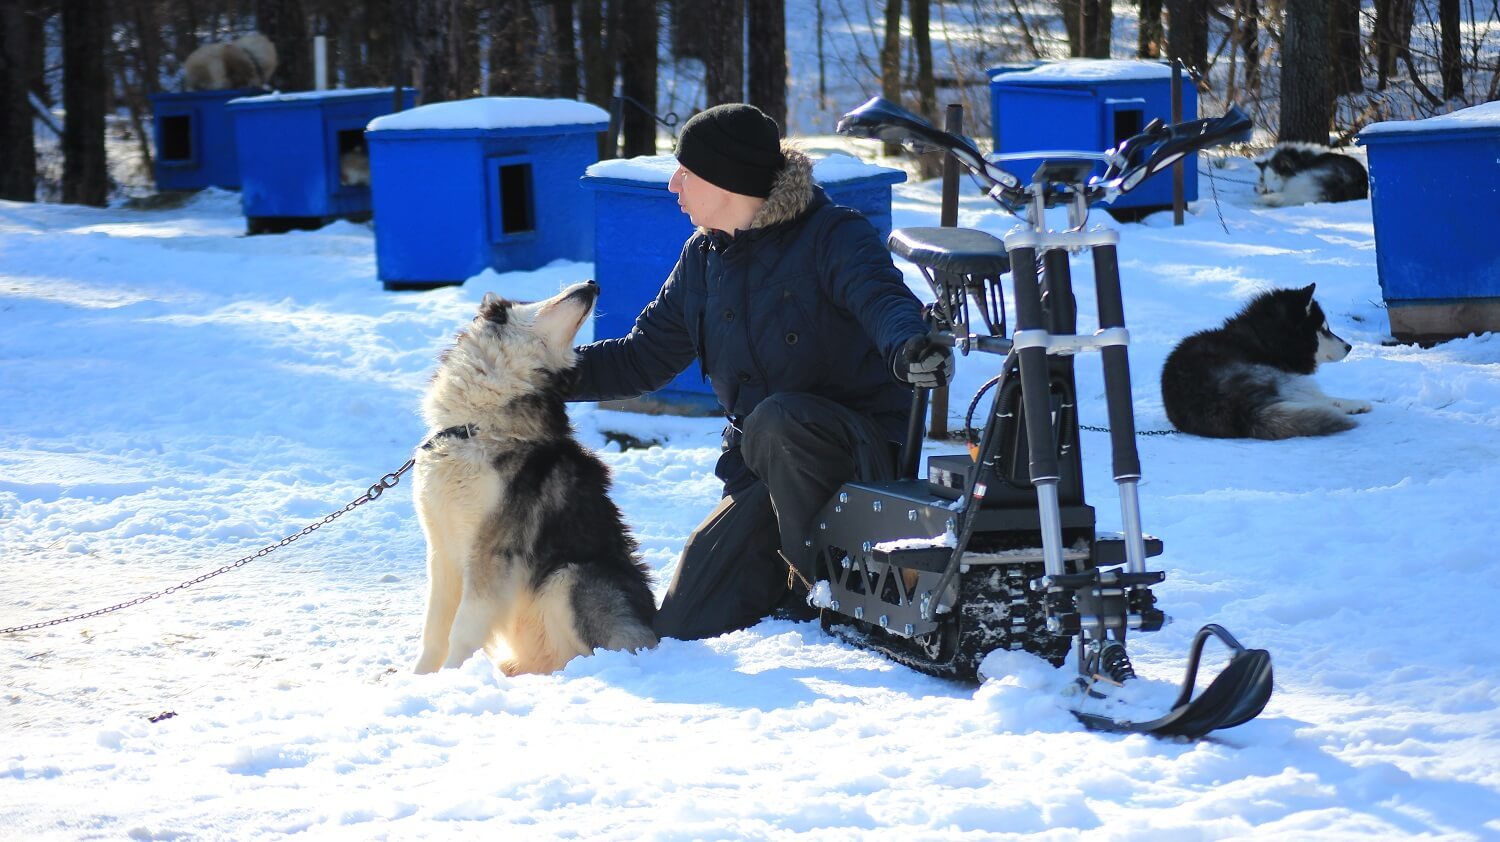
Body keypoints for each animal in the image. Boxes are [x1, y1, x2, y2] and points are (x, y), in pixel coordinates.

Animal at [411, 282, 657, 675]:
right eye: (528, 301)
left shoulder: (491, 553)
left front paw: (453, 676)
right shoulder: (442, 552)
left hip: (567, 577)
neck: (474, 426)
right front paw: (419, 679)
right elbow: (433, 630)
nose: (593, 285)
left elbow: (462, 630)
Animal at [1158, 283, 1374, 441]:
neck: (1264, 340)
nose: (1349, 347)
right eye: (1323, 330)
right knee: (1318, 400)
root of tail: (1238, 408)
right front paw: (1354, 403)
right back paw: (1353, 405)